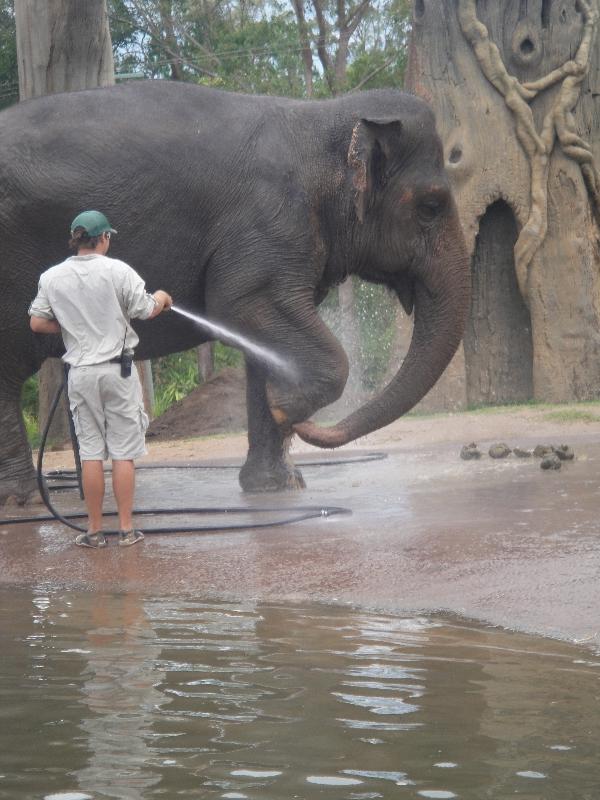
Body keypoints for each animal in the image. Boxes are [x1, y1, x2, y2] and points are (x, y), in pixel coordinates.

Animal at [0, 83, 472, 506]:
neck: (318, 120)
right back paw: (25, 498)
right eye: (430, 208)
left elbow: (261, 344)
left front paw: (278, 483)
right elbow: (239, 306)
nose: (308, 429)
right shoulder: (269, 226)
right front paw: (288, 407)